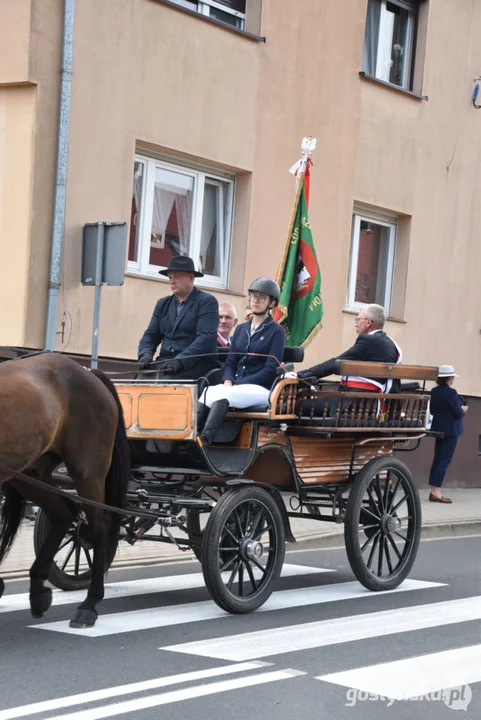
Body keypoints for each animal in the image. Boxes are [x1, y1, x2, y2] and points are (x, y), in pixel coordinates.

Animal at [0, 352, 129, 628]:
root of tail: (89, 373)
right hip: (31, 474)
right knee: (63, 514)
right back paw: (38, 591)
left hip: (88, 474)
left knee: (99, 527)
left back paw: (89, 605)